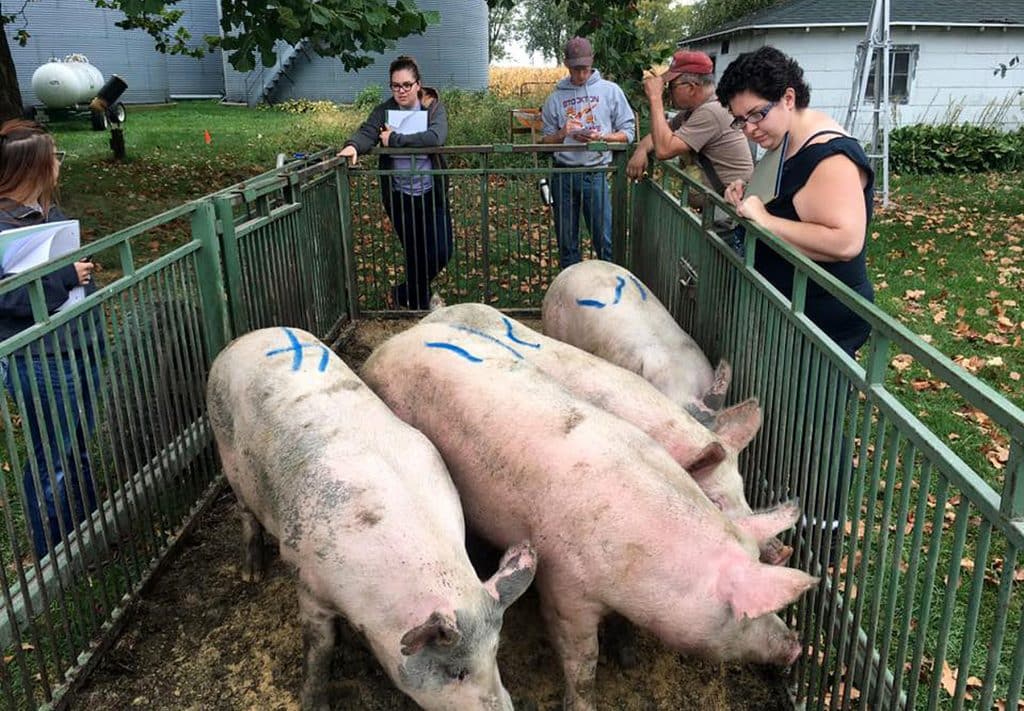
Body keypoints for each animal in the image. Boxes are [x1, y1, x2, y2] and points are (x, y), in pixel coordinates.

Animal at [205, 327, 536, 711]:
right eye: (458, 672)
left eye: (496, 653)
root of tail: (246, 338)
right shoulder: (309, 582)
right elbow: (319, 649)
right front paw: (315, 702)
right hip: (228, 455)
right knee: (245, 512)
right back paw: (251, 575)